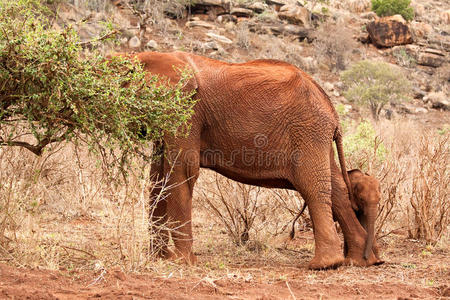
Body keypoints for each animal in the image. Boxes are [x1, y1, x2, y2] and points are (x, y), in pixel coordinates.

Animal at [132, 51, 382, 270]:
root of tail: (332, 109)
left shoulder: (187, 111)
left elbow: (182, 170)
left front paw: (182, 262)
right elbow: (158, 175)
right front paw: (160, 258)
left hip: (308, 130)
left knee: (312, 186)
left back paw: (324, 265)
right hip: (315, 135)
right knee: (335, 187)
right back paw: (359, 261)